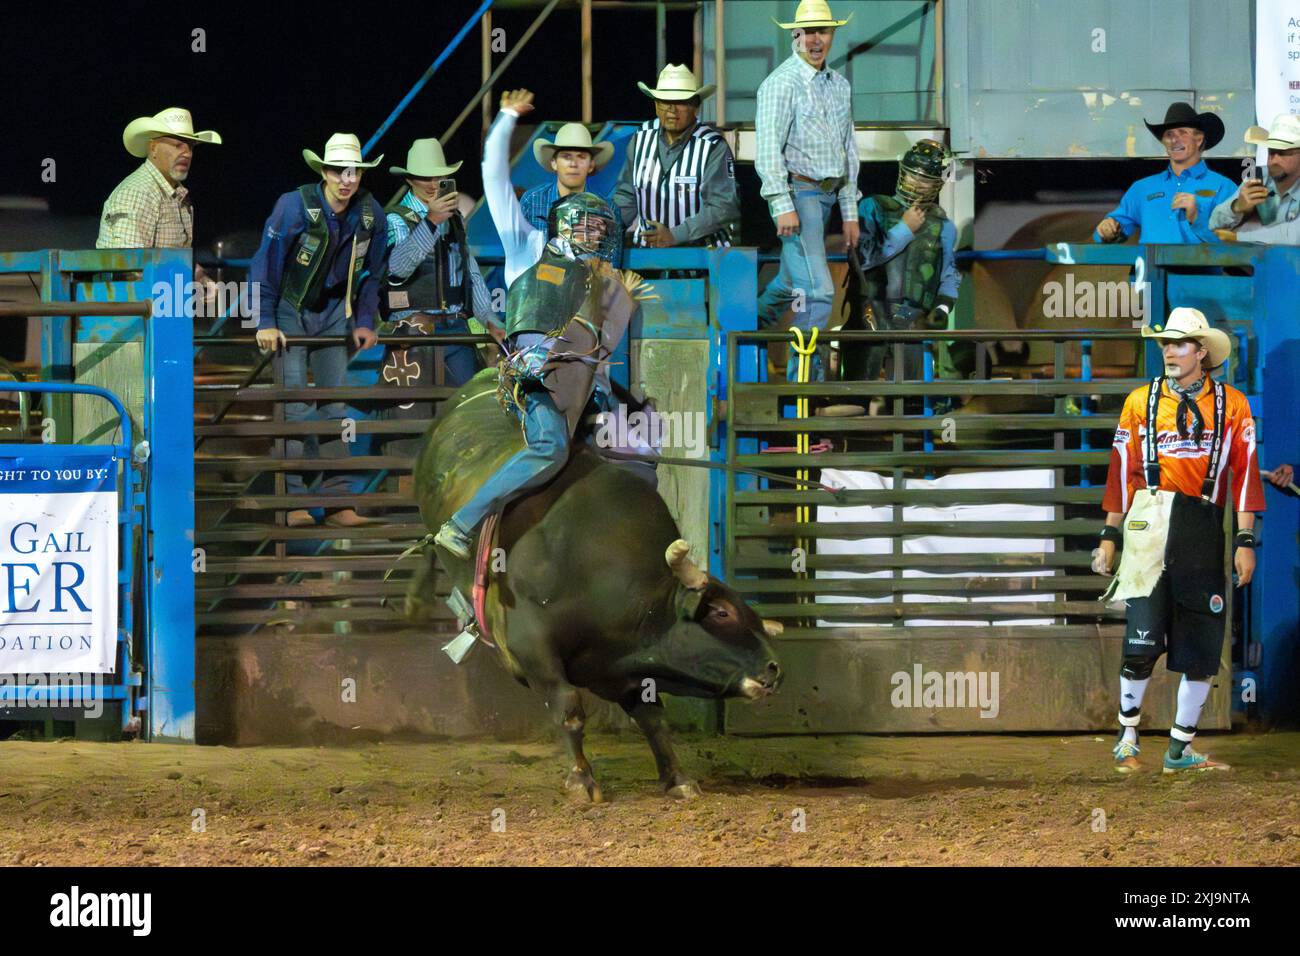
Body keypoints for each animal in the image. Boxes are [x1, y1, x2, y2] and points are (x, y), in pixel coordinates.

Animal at [405, 364, 780, 801]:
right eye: (721, 612)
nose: (774, 668)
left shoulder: (621, 668)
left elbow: (653, 719)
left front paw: (677, 778)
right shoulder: (532, 646)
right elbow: (569, 708)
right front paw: (582, 781)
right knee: (431, 543)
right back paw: (420, 596)